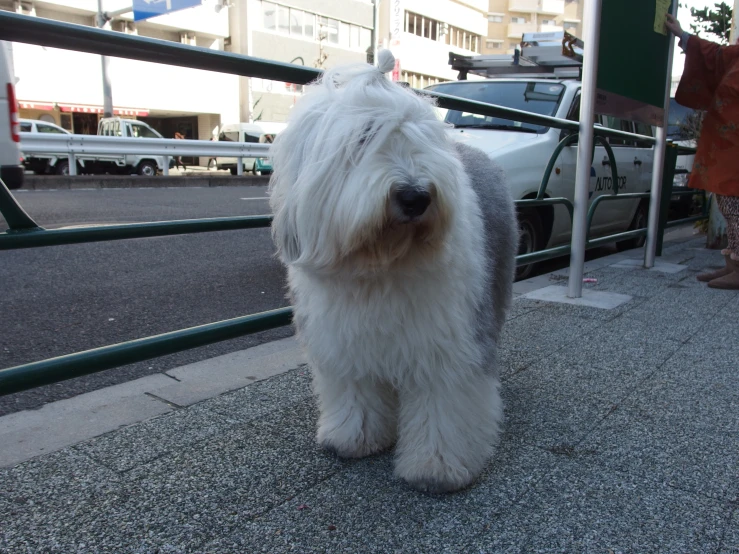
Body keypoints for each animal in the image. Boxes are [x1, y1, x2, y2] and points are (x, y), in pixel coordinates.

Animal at [268, 49, 516, 492]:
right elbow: (356, 391)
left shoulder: (447, 346)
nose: (415, 196)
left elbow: (445, 403)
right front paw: (353, 438)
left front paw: (436, 468)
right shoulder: (345, 343)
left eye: (418, 138)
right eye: (364, 138)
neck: (380, 264)